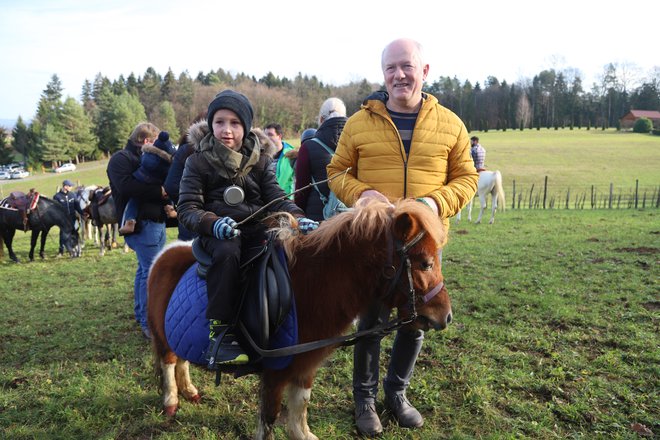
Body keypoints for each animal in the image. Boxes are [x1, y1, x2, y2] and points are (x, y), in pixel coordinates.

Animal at [146, 199, 452, 440]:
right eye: (425, 263)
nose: (445, 315)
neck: (308, 287)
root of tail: (166, 253)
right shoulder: (275, 372)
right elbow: (269, 419)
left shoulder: (306, 365)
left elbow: (300, 406)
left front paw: (302, 433)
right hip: (161, 334)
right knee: (169, 362)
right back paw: (172, 401)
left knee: (182, 359)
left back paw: (190, 391)